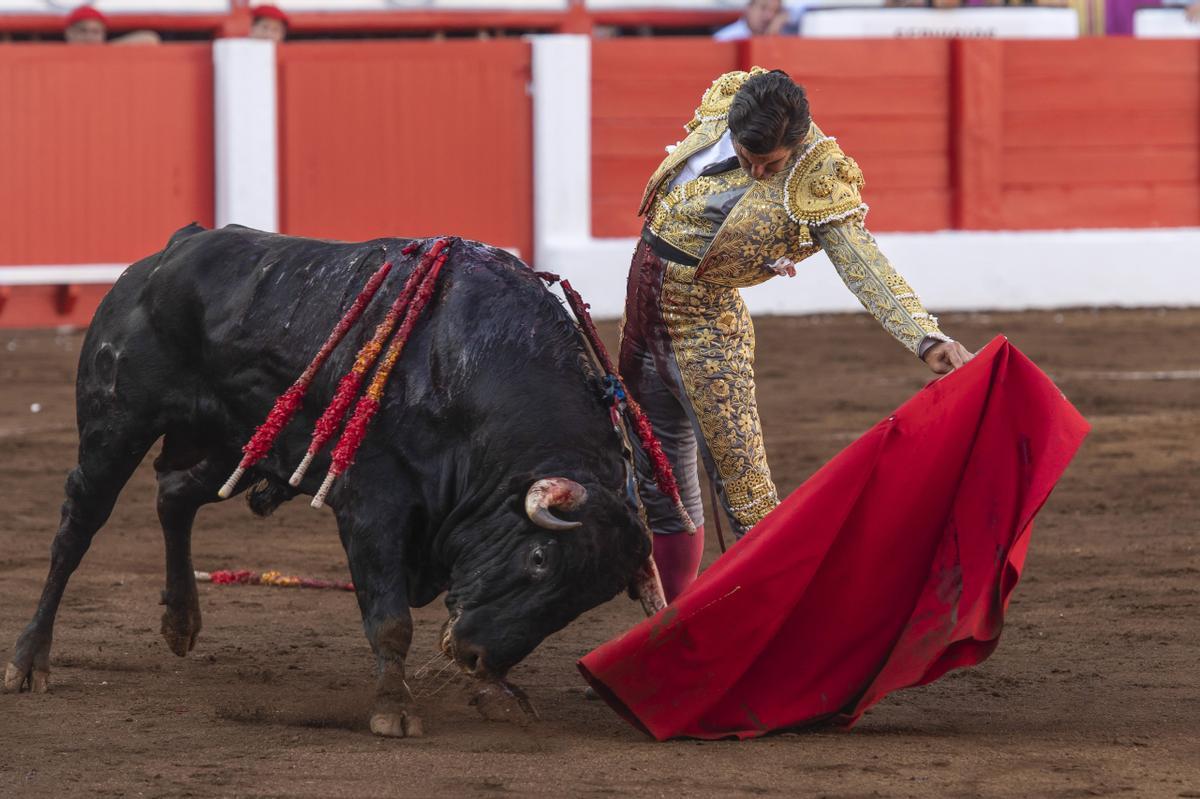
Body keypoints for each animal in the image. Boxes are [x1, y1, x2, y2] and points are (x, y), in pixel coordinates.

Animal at [0, 224, 662, 734]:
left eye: (584, 601)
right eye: (539, 560)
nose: (477, 657)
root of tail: (168, 252)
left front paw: (500, 694)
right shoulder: (372, 501)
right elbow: (390, 617)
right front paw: (394, 709)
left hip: (239, 442)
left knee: (174, 497)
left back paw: (181, 622)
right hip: (116, 428)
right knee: (77, 529)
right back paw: (29, 661)